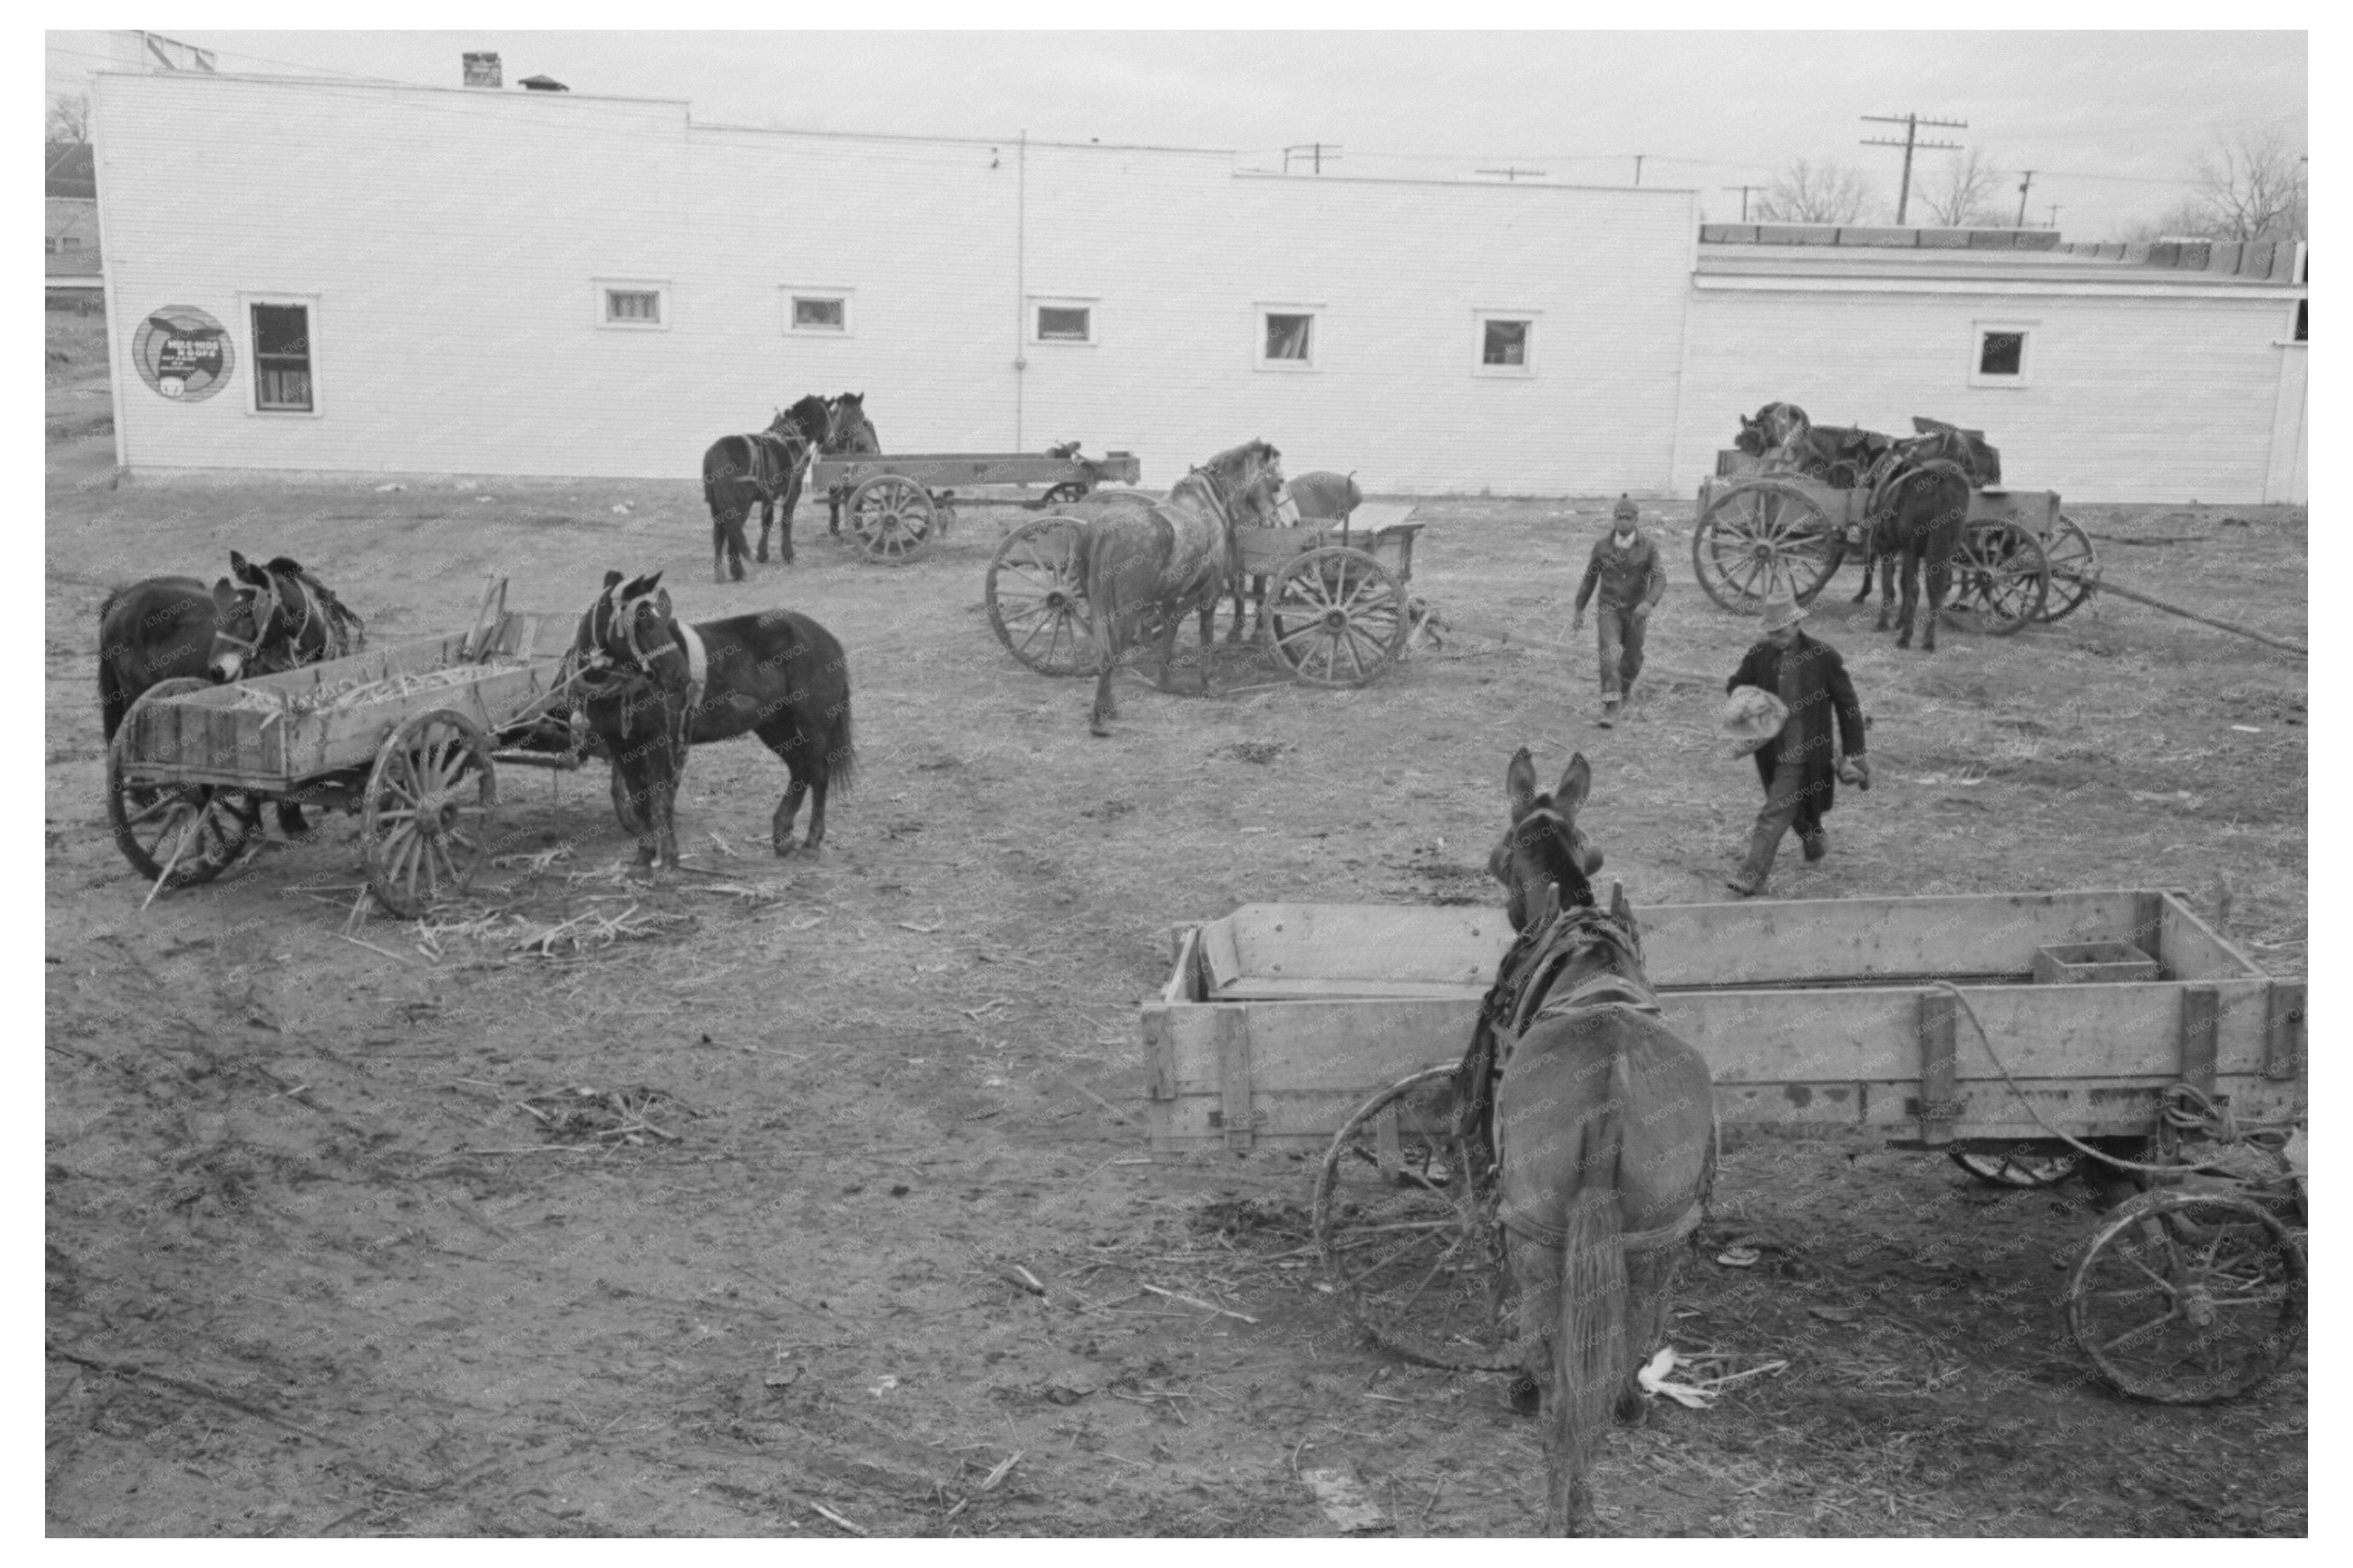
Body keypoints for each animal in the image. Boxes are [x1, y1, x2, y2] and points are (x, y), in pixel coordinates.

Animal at [564, 572, 861, 871]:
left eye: (658, 618)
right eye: (645, 621)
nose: (682, 676)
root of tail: (825, 637)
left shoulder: (660, 742)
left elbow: (660, 800)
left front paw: (669, 861)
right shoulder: (621, 746)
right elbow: (640, 801)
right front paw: (643, 859)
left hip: (814, 724)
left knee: (819, 773)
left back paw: (811, 843)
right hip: (774, 725)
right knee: (801, 768)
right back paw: (782, 836)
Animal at [696, 393, 837, 584]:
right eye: (829, 416)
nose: (832, 445)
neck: (791, 437)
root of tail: (715, 454)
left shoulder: (770, 494)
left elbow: (767, 521)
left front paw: (763, 554)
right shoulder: (793, 491)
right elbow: (786, 521)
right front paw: (788, 554)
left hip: (717, 506)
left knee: (719, 534)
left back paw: (720, 574)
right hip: (739, 505)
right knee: (733, 532)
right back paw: (738, 571)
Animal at [814, 390, 880, 536]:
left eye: (862, 414)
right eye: (845, 416)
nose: (864, 446)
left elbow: (858, 502)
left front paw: (860, 528)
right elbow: (834, 502)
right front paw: (834, 529)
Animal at [1077, 435, 1299, 734]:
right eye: (1279, 480)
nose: (1292, 521)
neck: (1207, 505)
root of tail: (1107, 530)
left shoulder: (1172, 596)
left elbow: (1170, 632)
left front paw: (1165, 682)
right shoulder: (1211, 592)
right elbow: (1206, 636)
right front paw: (1207, 684)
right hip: (1126, 611)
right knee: (1110, 653)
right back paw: (1100, 717)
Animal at [1477, 743, 1722, 1526]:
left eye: (1499, 854)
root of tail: (1610, 1091)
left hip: (1538, 1238)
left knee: (1554, 1368)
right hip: (1655, 1239)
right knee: (1633, 1333)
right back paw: (1625, 1404)